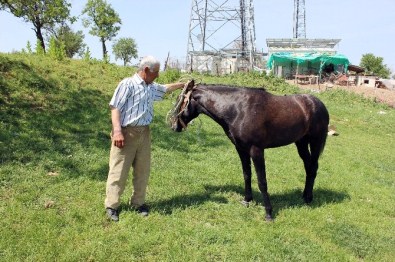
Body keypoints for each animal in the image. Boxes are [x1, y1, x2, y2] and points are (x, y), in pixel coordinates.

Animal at [172, 80, 330, 221]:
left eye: (180, 101)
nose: (174, 126)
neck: (238, 109)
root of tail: (318, 103)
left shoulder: (256, 150)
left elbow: (262, 181)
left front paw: (268, 213)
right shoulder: (241, 149)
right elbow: (247, 174)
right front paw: (247, 200)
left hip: (315, 142)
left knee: (313, 167)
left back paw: (309, 198)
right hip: (301, 143)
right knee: (308, 167)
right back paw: (304, 195)